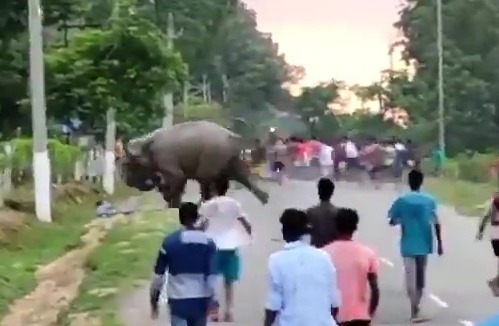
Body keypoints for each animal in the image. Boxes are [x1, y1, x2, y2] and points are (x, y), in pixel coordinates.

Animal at [119, 121, 270, 208]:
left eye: (128, 165)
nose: (126, 181)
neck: (146, 145)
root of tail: (231, 135)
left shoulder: (166, 159)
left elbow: (177, 179)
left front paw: (172, 203)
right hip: (230, 159)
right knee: (240, 177)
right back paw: (264, 198)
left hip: (212, 156)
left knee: (207, 182)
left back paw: (203, 204)